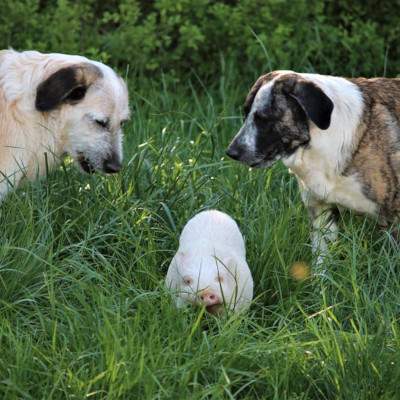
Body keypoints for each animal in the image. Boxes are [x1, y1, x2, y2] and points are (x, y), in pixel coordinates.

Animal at [227, 71, 400, 266]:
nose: (231, 152)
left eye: (263, 119)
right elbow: (321, 261)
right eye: (245, 113)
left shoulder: (394, 218)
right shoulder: (320, 213)